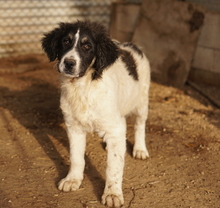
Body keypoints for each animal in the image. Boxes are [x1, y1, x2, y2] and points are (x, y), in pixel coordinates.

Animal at [42, 19, 150, 208]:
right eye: (65, 42)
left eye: (87, 46)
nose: (69, 63)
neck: (83, 86)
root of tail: (132, 45)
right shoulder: (74, 127)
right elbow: (76, 157)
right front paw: (73, 179)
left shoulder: (115, 127)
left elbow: (113, 165)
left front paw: (112, 193)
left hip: (142, 101)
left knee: (139, 125)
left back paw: (140, 149)